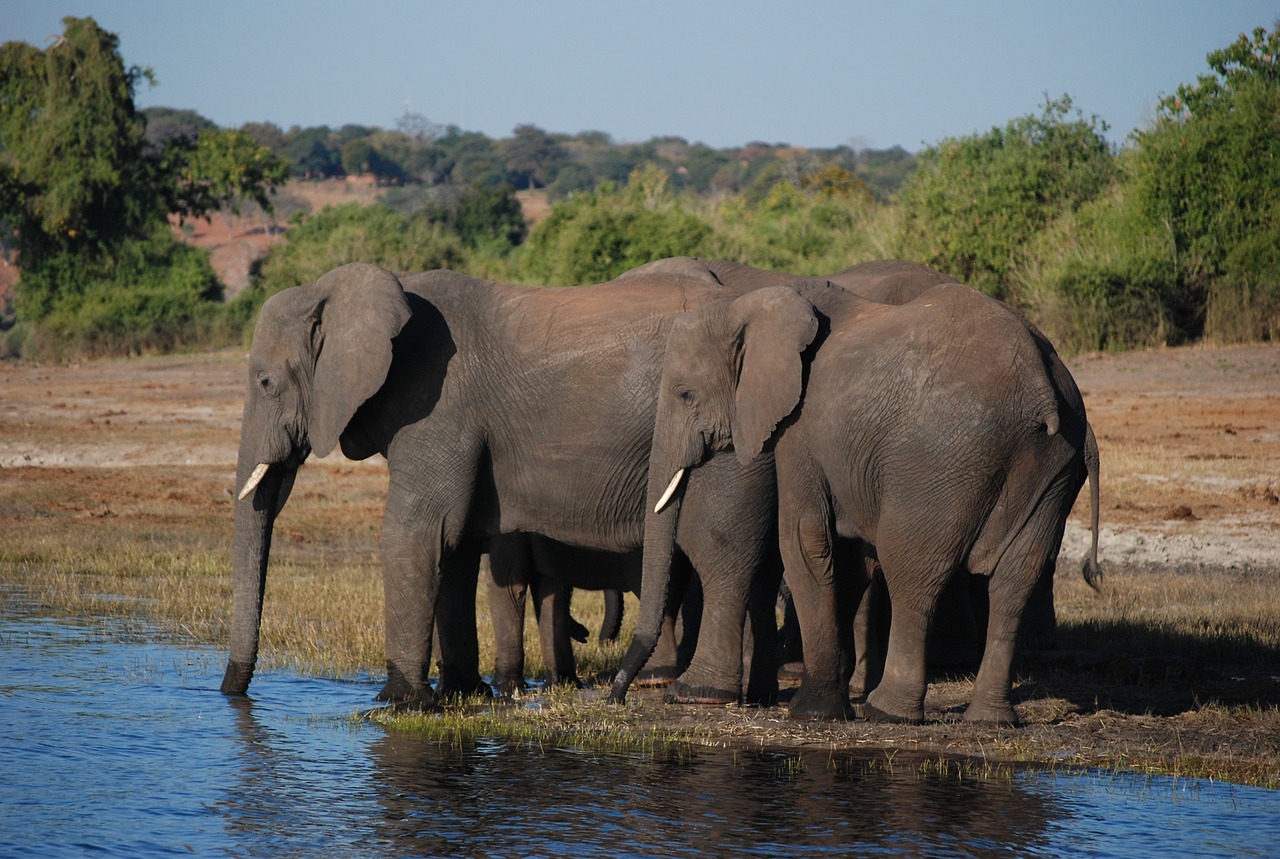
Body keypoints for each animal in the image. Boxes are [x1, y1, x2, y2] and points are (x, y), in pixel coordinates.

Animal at [220, 263, 778, 711]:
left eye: (266, 382)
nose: (231, 693)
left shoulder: (437, 403)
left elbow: (415, 534)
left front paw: (399, 701)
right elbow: (454, 544)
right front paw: (464, 694)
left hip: (734, 428)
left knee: (716, 547)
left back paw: (695, 692)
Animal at [614, 280, 1095, 727]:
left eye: (685, 394)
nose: (615, 695)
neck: (753, 304)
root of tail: (1040, 385)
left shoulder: (801, 426)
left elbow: (805, 540)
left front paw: (811, 712)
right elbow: (851, 562)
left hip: (942, 459)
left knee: (914, 573)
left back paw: (888, 712)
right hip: (1055, 464)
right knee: (1016, 581)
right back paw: (990, 720)